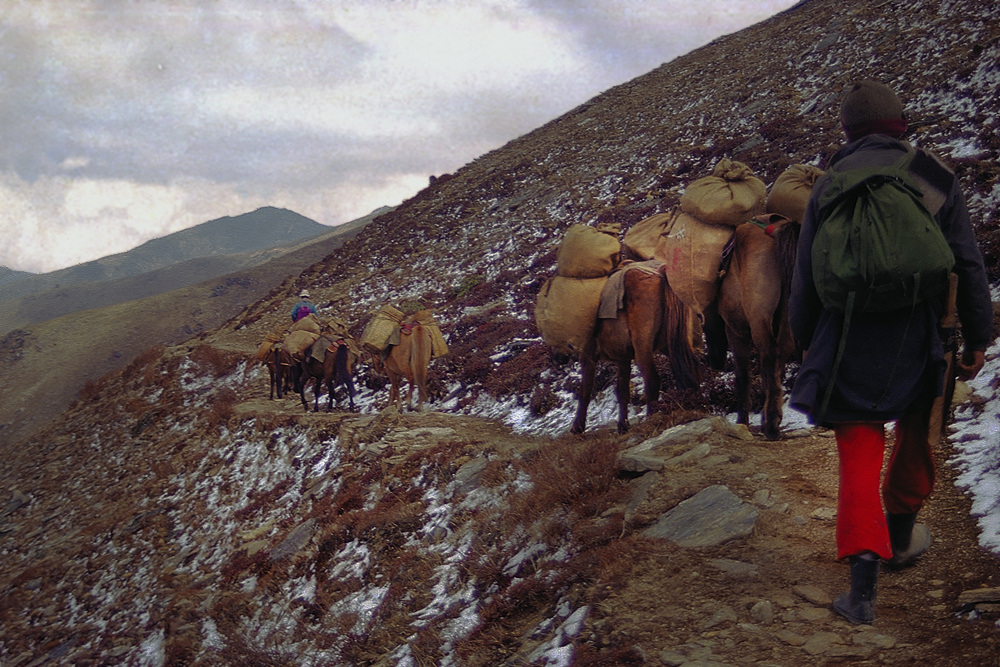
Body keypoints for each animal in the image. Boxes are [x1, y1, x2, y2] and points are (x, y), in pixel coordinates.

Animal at [572, 264, 704, 436]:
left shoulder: (588, 356)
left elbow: (584, 392)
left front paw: (577, 428)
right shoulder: (623, 358)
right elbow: (622, 391)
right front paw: (622, 426)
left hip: (643, 348)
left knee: (652, 380)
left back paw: (650, 418)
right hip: (671, 344)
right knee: (693, 369)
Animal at [716, 217, 800, 440]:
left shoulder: (734, 331)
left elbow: (742, 375)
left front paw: (742, 420)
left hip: (759, 320)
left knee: (770, 357)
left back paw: (770, 425)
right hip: (786, 318)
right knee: (781, 354)